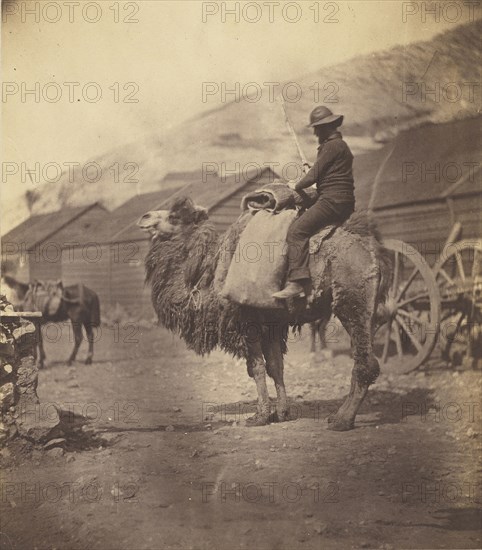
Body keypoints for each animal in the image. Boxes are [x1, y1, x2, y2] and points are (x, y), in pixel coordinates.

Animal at [137, 196, 392, 434]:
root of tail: (375, 252)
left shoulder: (247, 322)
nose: (144, 217)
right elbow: (276, 366)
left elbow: (257, 368)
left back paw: (342, 420)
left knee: (366, 363)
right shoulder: (271, 324)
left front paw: (259, 416)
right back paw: (338, 416)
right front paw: (282, 413)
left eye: (174, 217)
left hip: (352, 301)